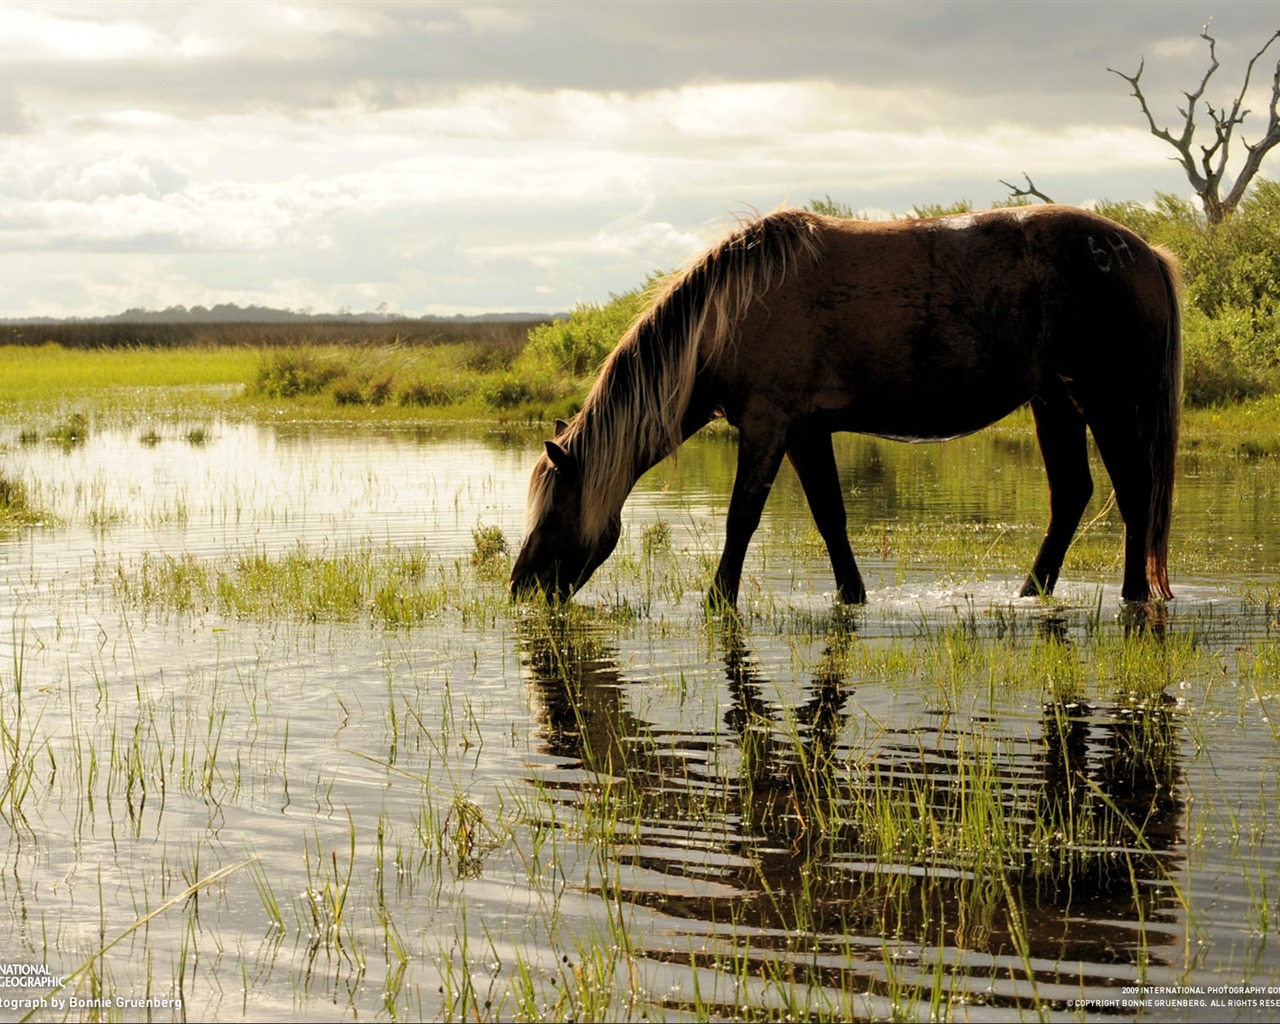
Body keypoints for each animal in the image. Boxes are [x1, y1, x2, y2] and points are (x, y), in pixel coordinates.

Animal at [506, 207, 1177, 609]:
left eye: (556, 508)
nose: (520, 587)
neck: (730, 313)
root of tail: (1145, 252)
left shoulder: (768, 426)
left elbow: (741, 518)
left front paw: (718, 600)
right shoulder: (806, 432)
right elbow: (831, 516)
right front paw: (851, 596)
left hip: (1103, 400)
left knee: (1133, 490)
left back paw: (1132, 595)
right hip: (1054, 401)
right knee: (1072, 494)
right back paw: (1031, 593)